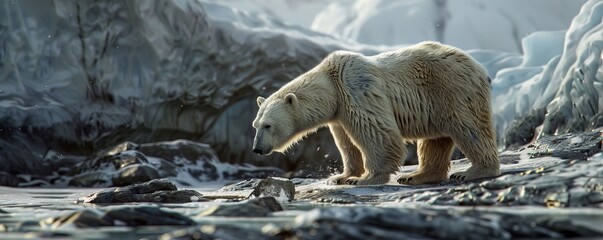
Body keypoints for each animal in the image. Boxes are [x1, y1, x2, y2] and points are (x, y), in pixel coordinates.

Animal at [251, 41, 500, 186]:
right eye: (256, 125)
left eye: (268, 125)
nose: (256, 149)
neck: (331, 83)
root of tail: (480, 68)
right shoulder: (339, 113)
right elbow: (346, 143)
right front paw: (341, 176)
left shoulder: (356, 91)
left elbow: (378, 135)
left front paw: (364, 179)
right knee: (435, 140)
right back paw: (416, 176)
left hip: (452, 89)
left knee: (470, 128)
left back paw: (472, 171)